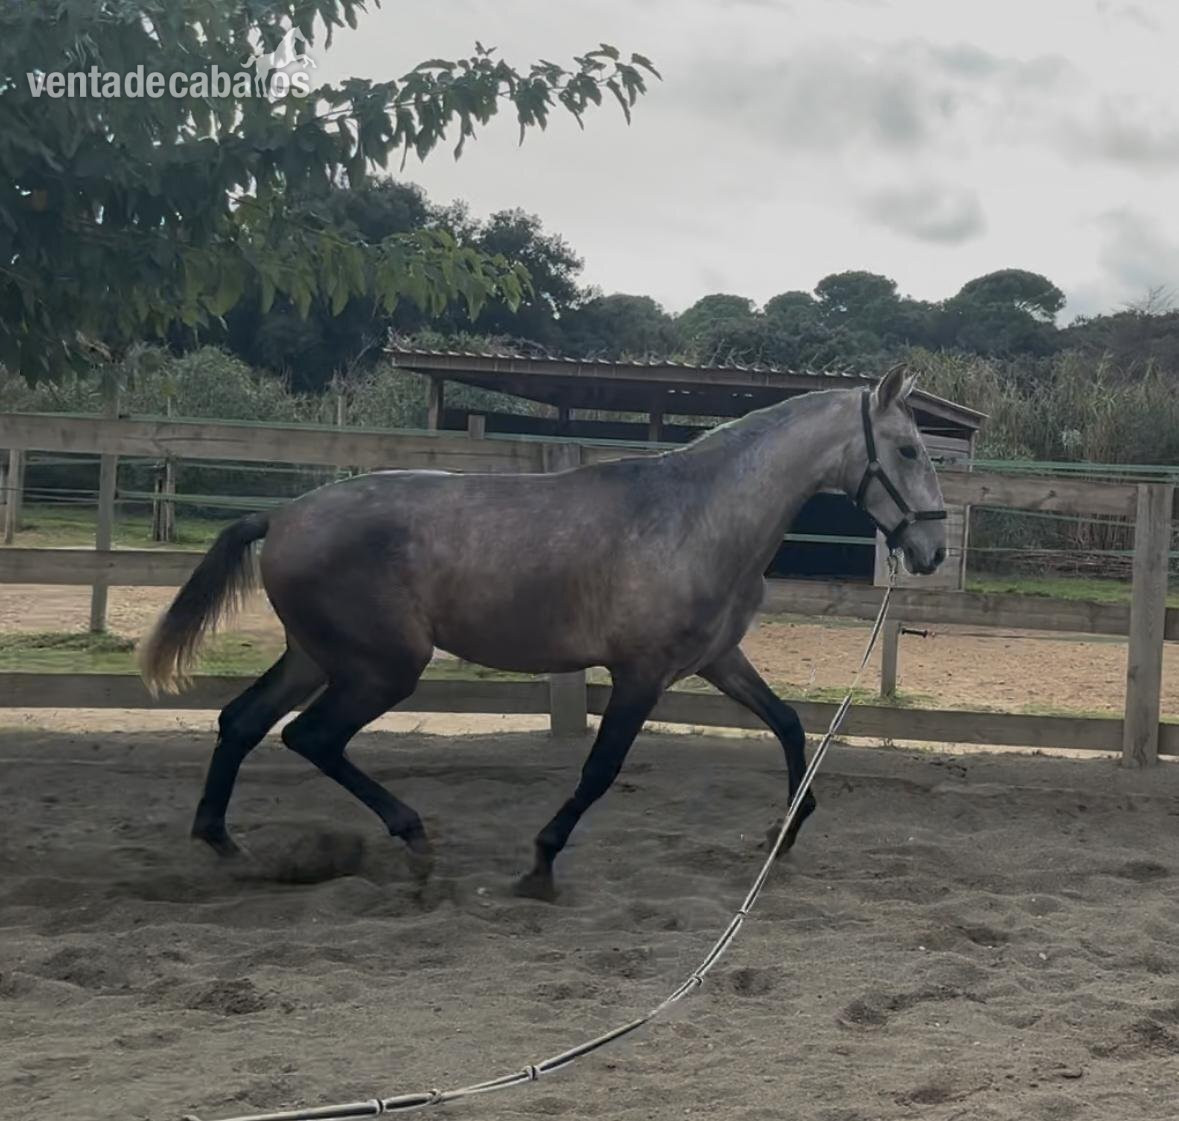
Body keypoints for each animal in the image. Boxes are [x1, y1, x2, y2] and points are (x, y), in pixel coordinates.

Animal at [138, 365, 947, 900]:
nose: (932, 551)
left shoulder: (716, 658)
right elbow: (599, 769)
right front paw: (540, 862)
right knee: (309, 736)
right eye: (908, 450)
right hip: (382, 668)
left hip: (314, 656)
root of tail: (282, 516)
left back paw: (227, 845)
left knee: (241, 721)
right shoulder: (640, 673)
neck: (699, 516)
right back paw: (414, 841)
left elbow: (787, 723)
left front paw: (786, 830)